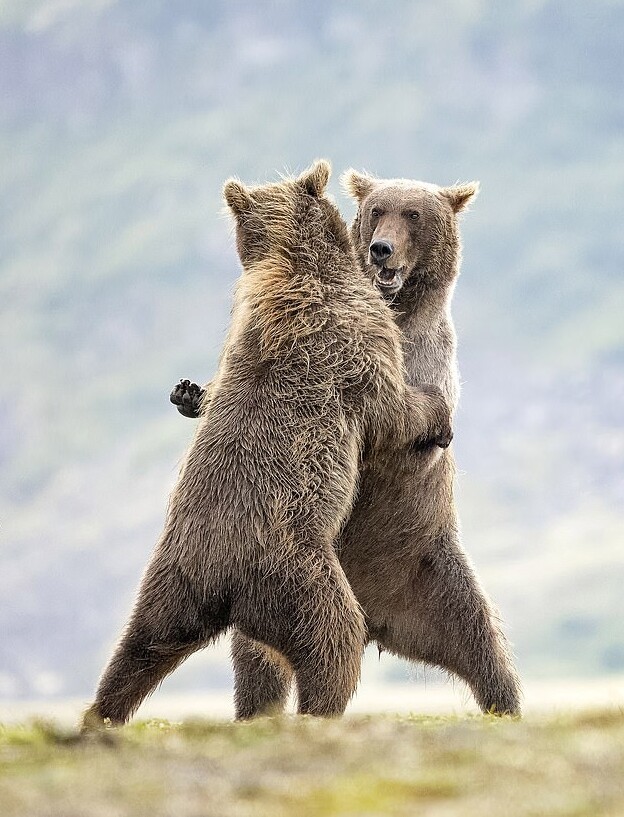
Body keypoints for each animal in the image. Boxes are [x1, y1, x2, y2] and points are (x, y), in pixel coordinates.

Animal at [84, 161, 454, 728]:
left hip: (173, 581)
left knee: (139, 648)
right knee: (334, 641)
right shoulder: (355, 341)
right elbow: (390, 412)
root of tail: (226, 587)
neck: (300, 264)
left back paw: (101, 713)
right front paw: (435, 410)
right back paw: (320, 712)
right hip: (296, 574)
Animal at [173, 171, 524, 712]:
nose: (381, 249)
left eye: (413, 214)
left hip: (429, 569)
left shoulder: (424, 360)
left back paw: (504, 703)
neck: (395, 311)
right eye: (378, 210)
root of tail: (377, 620)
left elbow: (404, 426)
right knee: (259, 664)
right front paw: (192, 393)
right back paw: (257, 710)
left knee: (483, 643)